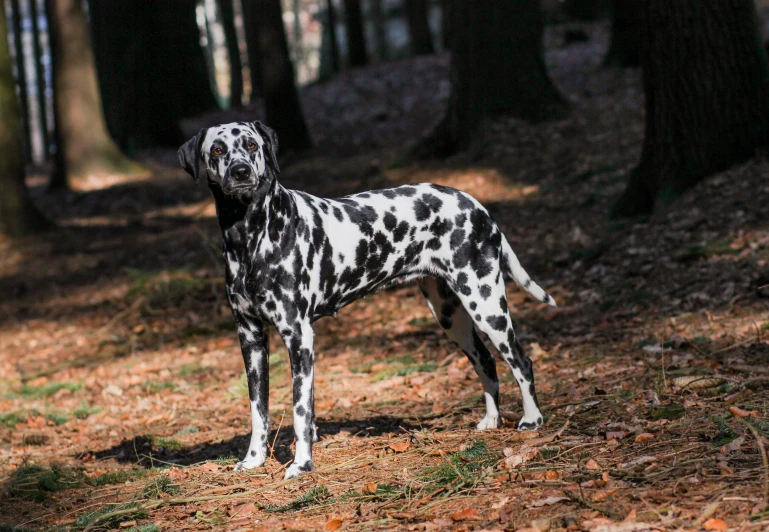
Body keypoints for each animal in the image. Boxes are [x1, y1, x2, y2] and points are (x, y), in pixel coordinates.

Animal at [178, 122, 556, 480]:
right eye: (217, 149)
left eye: (252, 145)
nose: (241, 171)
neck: (251, 236)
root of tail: (475, 204)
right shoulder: (252, 340)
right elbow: (259, 411)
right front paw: (254, 460)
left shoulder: (299, 338)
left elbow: (301, 413)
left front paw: (301, 466)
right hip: (452, 316)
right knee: (486, 361)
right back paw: (491, 420)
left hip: (487, 305)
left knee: (521, 361)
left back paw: (532, 420)